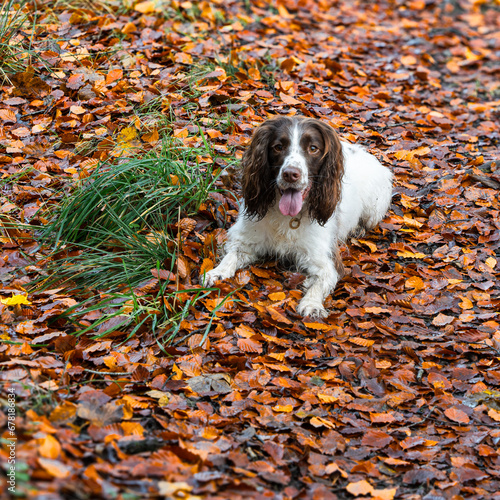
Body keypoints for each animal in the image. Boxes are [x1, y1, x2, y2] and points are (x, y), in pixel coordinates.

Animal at [201, 115, 392, 318]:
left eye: (313, 148)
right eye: (278, 147)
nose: (291, 174)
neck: (287, 217)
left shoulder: (325, 258)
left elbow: (323, 279)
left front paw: (312, 304)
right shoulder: (246, 237)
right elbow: (232, 255)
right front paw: (216, 273)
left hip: (374, 207)